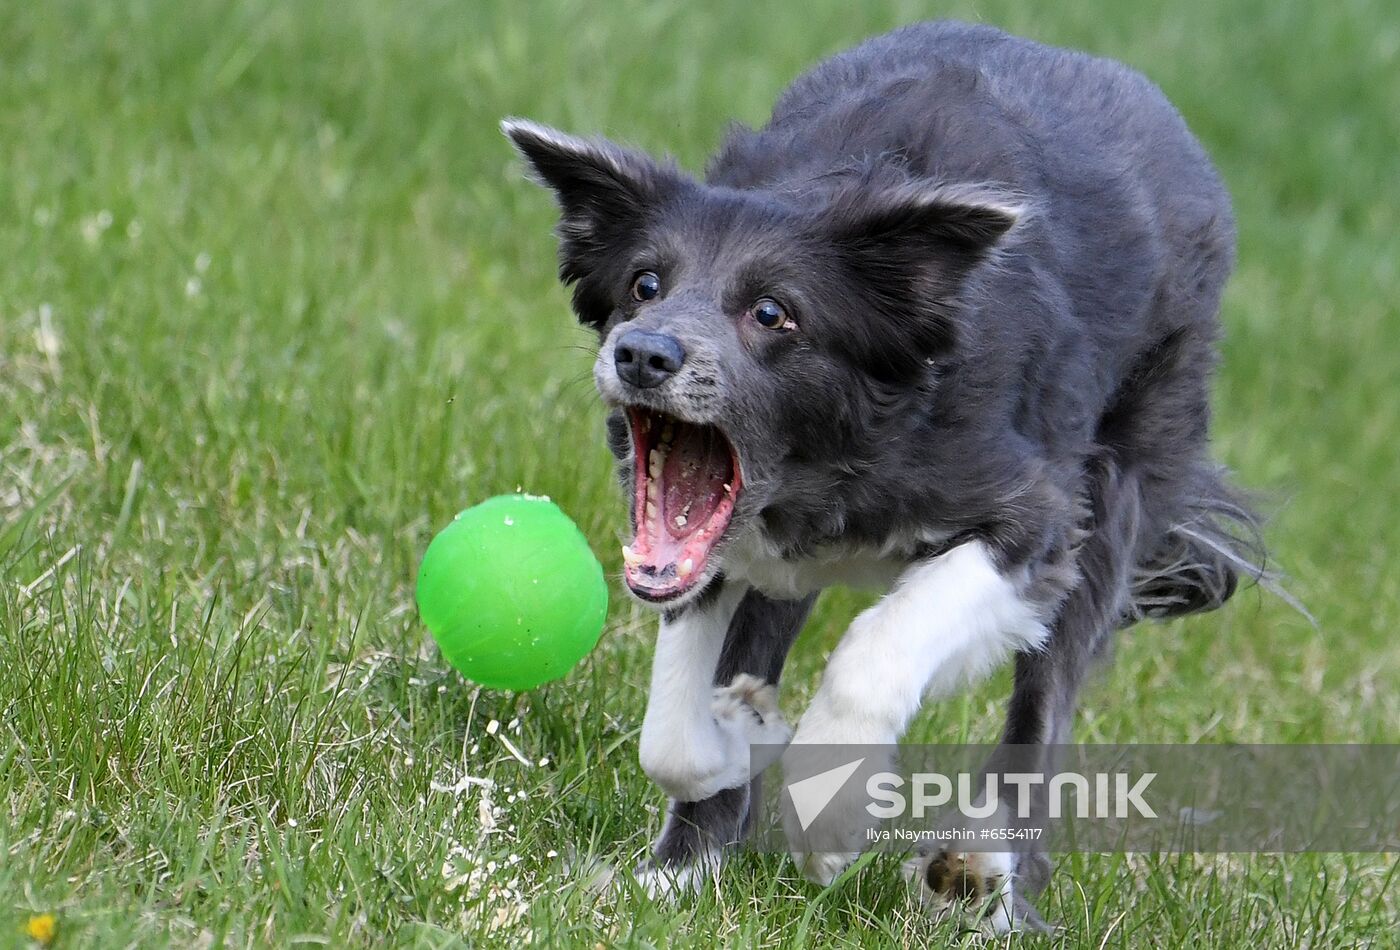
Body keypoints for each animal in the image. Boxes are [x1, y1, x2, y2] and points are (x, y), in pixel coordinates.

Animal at [501, 20, 1260, 929]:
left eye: (772, 313)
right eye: (644, 284)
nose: (643, 354)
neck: (839, 455)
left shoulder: (1034, 523)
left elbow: (880, 644)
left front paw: (828, 809)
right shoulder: (721, 553)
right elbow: (676, 727)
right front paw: (716, 789)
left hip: (1119, 487)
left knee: (1041, 709)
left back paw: (985, 872)